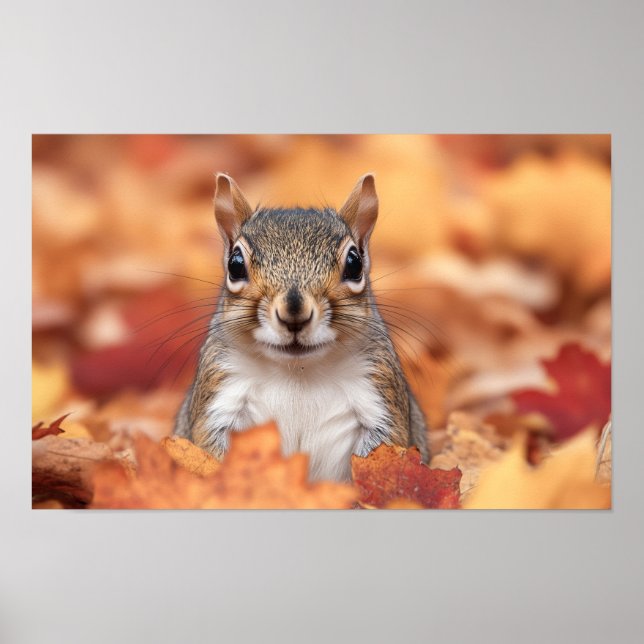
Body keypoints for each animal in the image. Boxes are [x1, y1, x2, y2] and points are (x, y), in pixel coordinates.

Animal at [174, 173, 429, 481]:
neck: (298, 373)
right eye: (235, 264)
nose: (294, 313)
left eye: (354, 263)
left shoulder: (379, 396)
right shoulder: (220, 395)